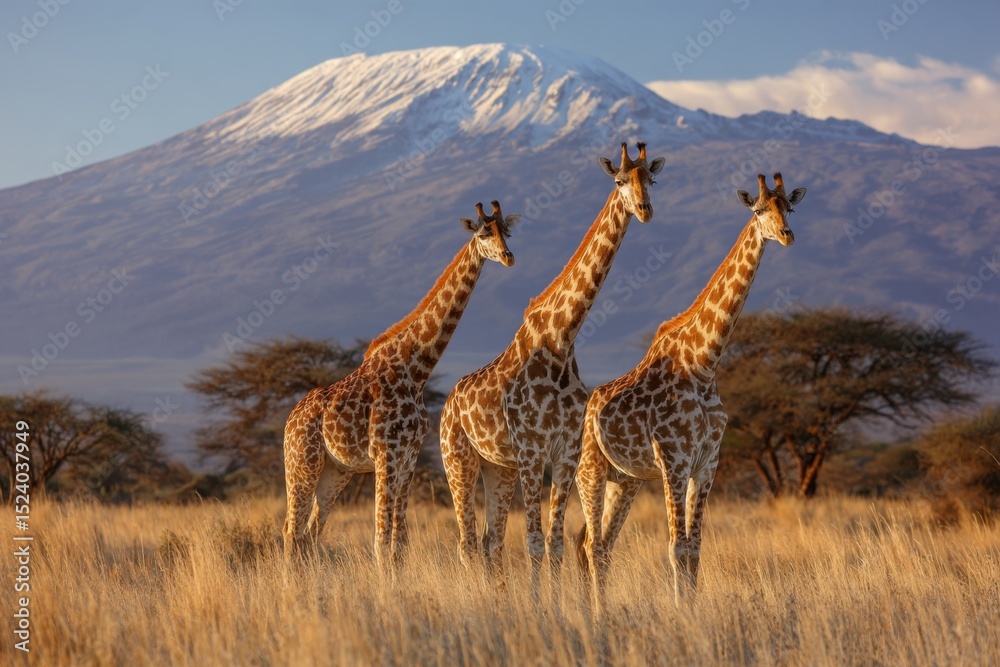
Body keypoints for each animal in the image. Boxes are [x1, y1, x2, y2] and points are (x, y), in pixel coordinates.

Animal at [282, 200, 520, 567]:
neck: (416, 369)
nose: (508, 257)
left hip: (335, 471)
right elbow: (381, 541)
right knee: (291, 532)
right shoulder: (385, 455)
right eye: (483, 233)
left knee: (309, 533)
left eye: (506, 231)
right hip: (301, 465)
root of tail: (288, 423)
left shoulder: (408, 458)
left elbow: (400, 542)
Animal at [440, 143, 665, 594]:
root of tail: (445, 406)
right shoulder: (532, 452)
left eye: (650, 178)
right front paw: (539, 605)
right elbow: (532, 541)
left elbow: (555, 541)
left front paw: (556, 604)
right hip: (459, 460)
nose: (645, 209)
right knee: (466, 542)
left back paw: (498, 599)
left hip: (498, 468)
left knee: (490, 542)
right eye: (619, 181)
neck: (561, 339)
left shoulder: (565, 452)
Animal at [575, 172, 806, 610]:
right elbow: (675, 546)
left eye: (789, 206)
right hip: (590, 470)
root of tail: (590, 406)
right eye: (759, 210)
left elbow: (696, 547)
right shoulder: (674, 461)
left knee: (601, 544)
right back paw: (597, 614)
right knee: (592, 544)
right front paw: (683, 612)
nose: (787, 235)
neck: (704, 364)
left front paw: (694, 609)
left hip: (625, 480)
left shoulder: (708, 463)